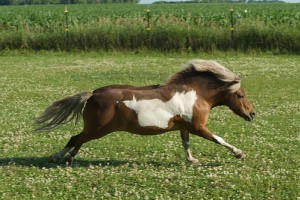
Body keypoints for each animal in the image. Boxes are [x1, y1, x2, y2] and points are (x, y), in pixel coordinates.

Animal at [35, 59, 255, 166]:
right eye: (241, 95)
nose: (252, 114)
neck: (195, 94)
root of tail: (93, 94)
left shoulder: (184, 127)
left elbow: (186, 144)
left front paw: (192, 160)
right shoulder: (198, 127)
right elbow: (219, 139)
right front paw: (239, 153)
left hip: (94, 129)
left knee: (79, 140)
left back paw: (70, 159)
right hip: (98, 129)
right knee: (75, 138)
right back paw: (56, 157)